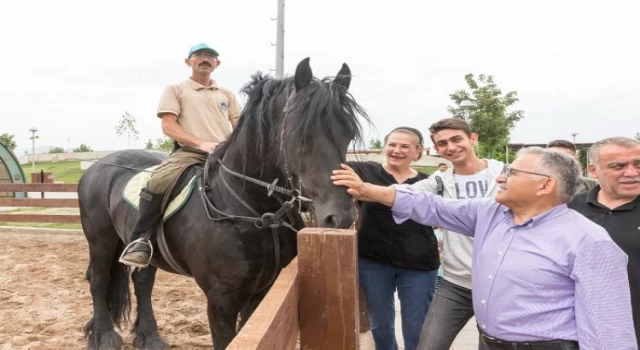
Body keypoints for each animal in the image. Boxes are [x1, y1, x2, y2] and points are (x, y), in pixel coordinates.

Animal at [79, 58, 370, 350]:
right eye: (301, 135)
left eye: (348, 133)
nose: (342, 217)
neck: (255, 212)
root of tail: (100, 165)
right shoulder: (222, 300)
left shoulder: (262, 293)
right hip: (101, 240)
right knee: (99, 280)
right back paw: (104, 336)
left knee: (142, 282)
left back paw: (149, 337)